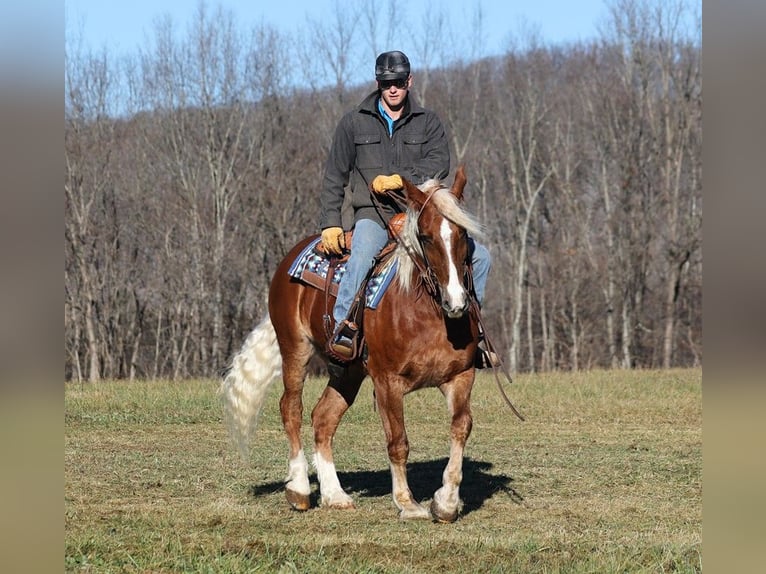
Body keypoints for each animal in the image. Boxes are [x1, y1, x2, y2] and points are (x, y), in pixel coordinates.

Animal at [222, 168, 486, 528]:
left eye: (462, 233)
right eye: (426, 236)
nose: (456, 301)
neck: (427, 314)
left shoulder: (461, 376)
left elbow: (461, 428)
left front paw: (445, 502)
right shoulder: (388, 382)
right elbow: (398, 442)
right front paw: (407, 503)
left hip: (348, 371)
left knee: (323, 418)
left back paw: (335, 495)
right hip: (295, 350)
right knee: (291, 409)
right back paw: (300, 488)